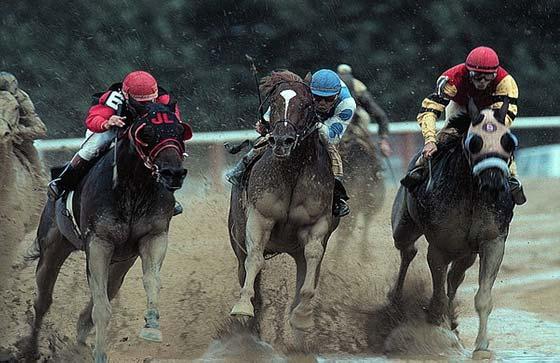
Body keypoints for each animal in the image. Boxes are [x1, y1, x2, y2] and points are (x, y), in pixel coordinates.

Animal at [23, 102, 190, 363]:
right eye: (146, 133)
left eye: (180, 130)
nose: (173, 173)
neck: (133, 189)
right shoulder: (99, 242)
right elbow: (101, 307)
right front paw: (100, 353)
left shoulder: (154, 236)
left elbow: (151, 280)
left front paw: (152, 326)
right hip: (52, 246)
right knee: (43, 300)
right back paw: (31, 349)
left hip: (122, 261)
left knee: (109, 289)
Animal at [228, 69, 342, 332]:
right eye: (274, 101)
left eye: (306, 104)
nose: (282, 141)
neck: (292, 172)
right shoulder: (259, 217)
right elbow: (255, 258)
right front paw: (243, 307)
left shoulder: (317, 224)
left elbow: (313, 256)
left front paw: (303, 314)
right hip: (236, 238)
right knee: (245, 267)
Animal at [392, 99, 520, 358]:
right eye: (475, 141)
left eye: (508, 141)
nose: (494, 182)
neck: (470, 193)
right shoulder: (439, 244)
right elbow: (438, 291)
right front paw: (435, 319)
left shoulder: (493, 240)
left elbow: (483, 296)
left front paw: (482, 345)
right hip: (403, 224)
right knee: (408, 250)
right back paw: (396, 299)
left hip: (466, 252)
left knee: (455, 276)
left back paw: (451, 319)